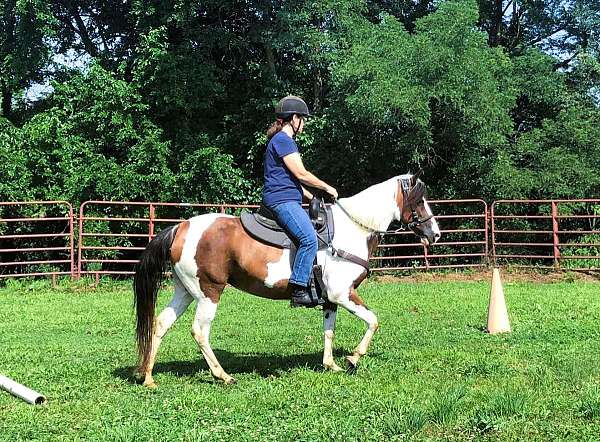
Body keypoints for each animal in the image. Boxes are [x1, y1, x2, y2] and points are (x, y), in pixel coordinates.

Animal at [132, 174, 440, 386]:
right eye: (420, 200)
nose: (434, 233)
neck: (353, 229)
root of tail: (180, 228)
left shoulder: (330, 299)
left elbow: (329, 330)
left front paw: (331, 365)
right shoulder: (342, 293)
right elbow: (373, 321)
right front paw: (353, 358)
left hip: (185, 291)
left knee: (161, 323)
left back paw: (148, 377)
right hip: (210, 292)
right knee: (199, 331)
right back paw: (223, 376)